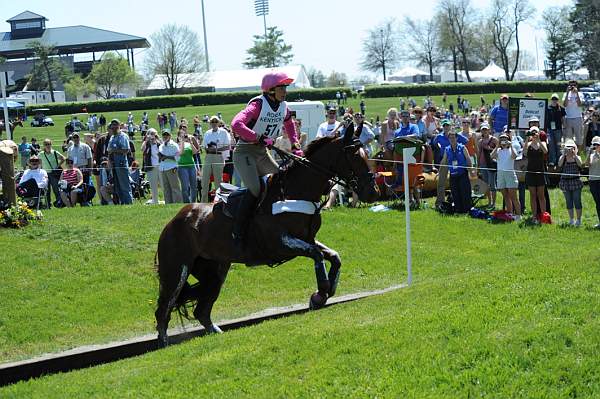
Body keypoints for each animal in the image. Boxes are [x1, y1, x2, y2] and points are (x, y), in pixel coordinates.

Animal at [155, 124, 380, 346]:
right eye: (354, 156)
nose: (373, 193)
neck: (294, 191)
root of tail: (173, 221)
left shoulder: (307, 239)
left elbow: (334, 256)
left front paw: (326, 291)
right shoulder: (280, 244)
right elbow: (317, 255)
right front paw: (320, 294)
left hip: (215, 270)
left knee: (201, 310)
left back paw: (215, 331)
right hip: (177, 270)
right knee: (164, 308)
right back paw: (164, 342)